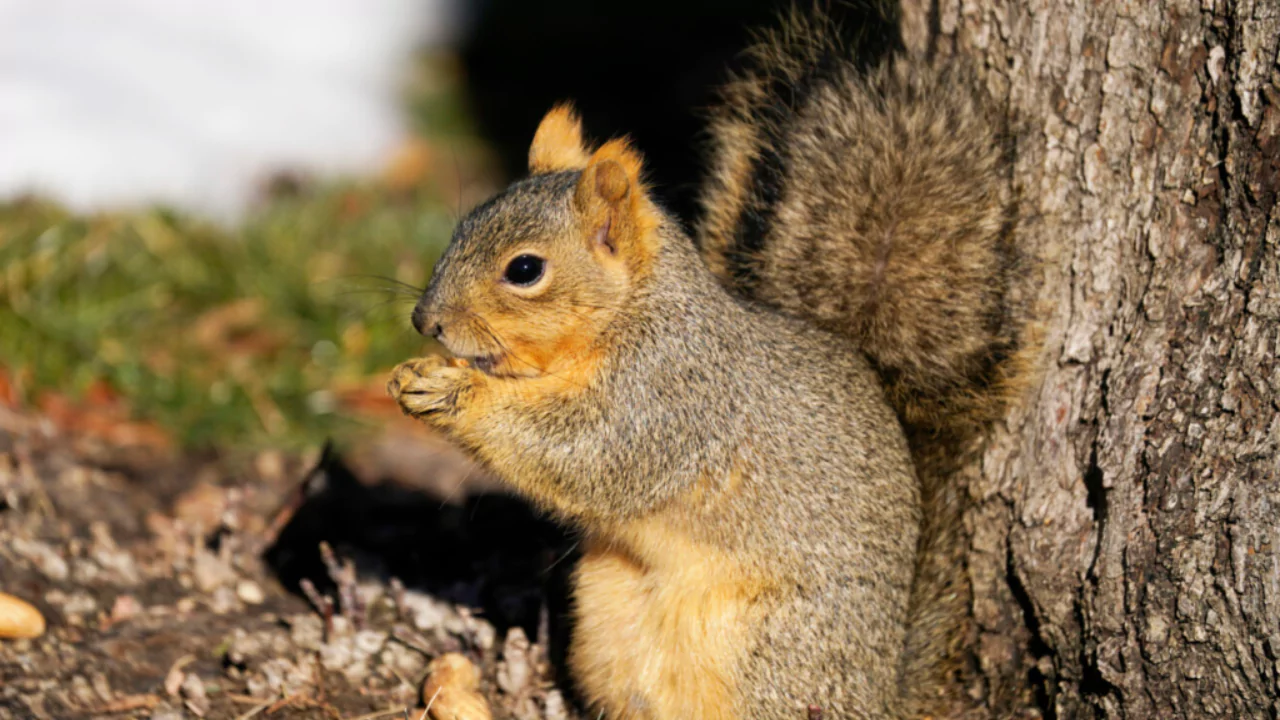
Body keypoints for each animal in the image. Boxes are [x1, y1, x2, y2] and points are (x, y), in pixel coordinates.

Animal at [387, 6, 1027, 719]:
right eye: (462, 226)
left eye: (525, 269)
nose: (425, 322)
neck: (629, 314)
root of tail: (881, 694)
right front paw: (416, 374)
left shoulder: (669, 396)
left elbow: (583, 452)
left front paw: (456, 394)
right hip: (609, 617)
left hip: (768, 658)